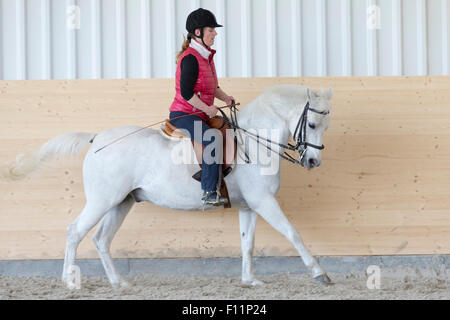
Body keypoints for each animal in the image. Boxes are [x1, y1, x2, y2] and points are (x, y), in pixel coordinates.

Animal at [3, 84, 334, 288]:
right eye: (312, 124)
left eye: (326, 126)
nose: (313, 161)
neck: (253, 140)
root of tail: (96, 139)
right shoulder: (265, 202)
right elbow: (293, 232)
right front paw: (320, 273)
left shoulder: (250, 206)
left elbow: (247, 243)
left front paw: (249, 281)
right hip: (102, 200)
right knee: (75, 232)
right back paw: (70, 282)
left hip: (121, 202)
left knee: (101, 239)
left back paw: (119, 283)